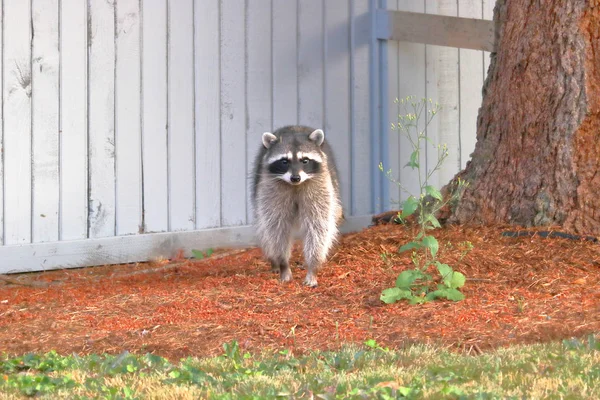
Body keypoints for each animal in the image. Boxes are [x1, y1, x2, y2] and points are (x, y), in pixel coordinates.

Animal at [251, 126, 342, 286]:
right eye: (284, 161)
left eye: (305, 160)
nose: (295, 178)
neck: (295, 185)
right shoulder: (270, 190)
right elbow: (276, 228)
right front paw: (283, 263)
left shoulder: (320, 187)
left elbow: (318, 227)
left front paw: (313, 267)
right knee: (264, 230)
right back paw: (274, 261)